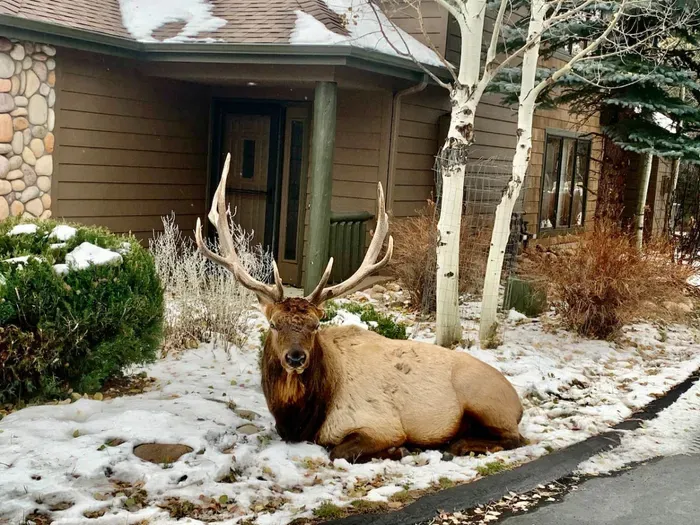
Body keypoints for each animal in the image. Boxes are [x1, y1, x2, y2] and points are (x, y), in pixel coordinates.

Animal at [195, 153, 525, 463]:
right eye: (274, 324)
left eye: (316, 325)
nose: (295, 357)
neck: (303, 419)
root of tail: (518, 403)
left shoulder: (381, 424)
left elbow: (339, 451)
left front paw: (398, 450)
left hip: (482, 401)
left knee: (516, 438)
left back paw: (458, 445)